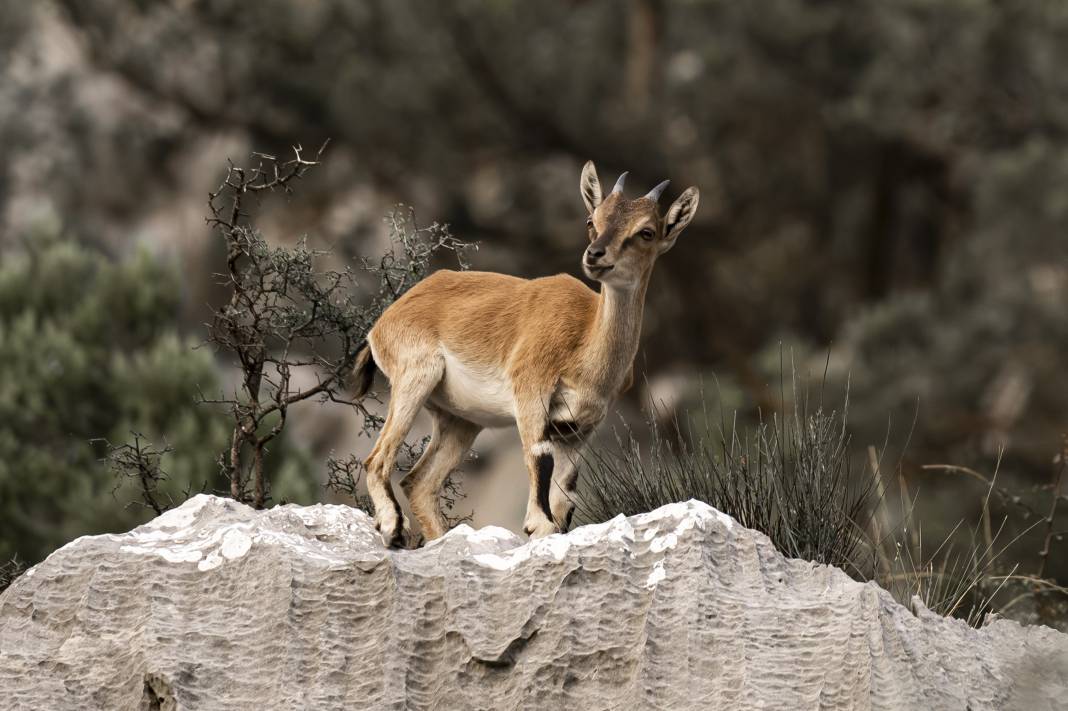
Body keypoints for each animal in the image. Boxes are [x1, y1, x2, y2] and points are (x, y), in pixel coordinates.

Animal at [352, 162, 700, 542]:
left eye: (646, 232)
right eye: (591, 220)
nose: (595, 255)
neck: (586, 345)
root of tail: (383, 323)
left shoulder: (580, 428)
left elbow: (566, 490)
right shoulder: (531, 393)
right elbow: (539, 458)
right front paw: (537, 524)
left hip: (461, 420)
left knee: (419, 483)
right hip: (415, 378)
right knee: (377, 460)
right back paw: (392, 527)